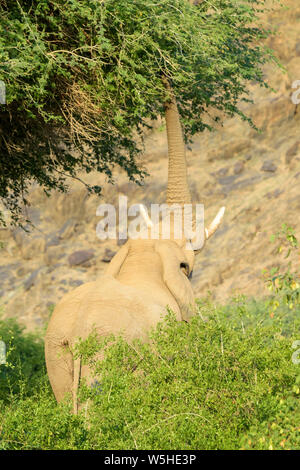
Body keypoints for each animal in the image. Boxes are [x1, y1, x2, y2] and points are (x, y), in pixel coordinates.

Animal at [44, 82, 225, 414]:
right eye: (188, 271)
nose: (163, 77)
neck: (142, 255)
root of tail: (76, 333)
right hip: (110, 354)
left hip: (56, 357)